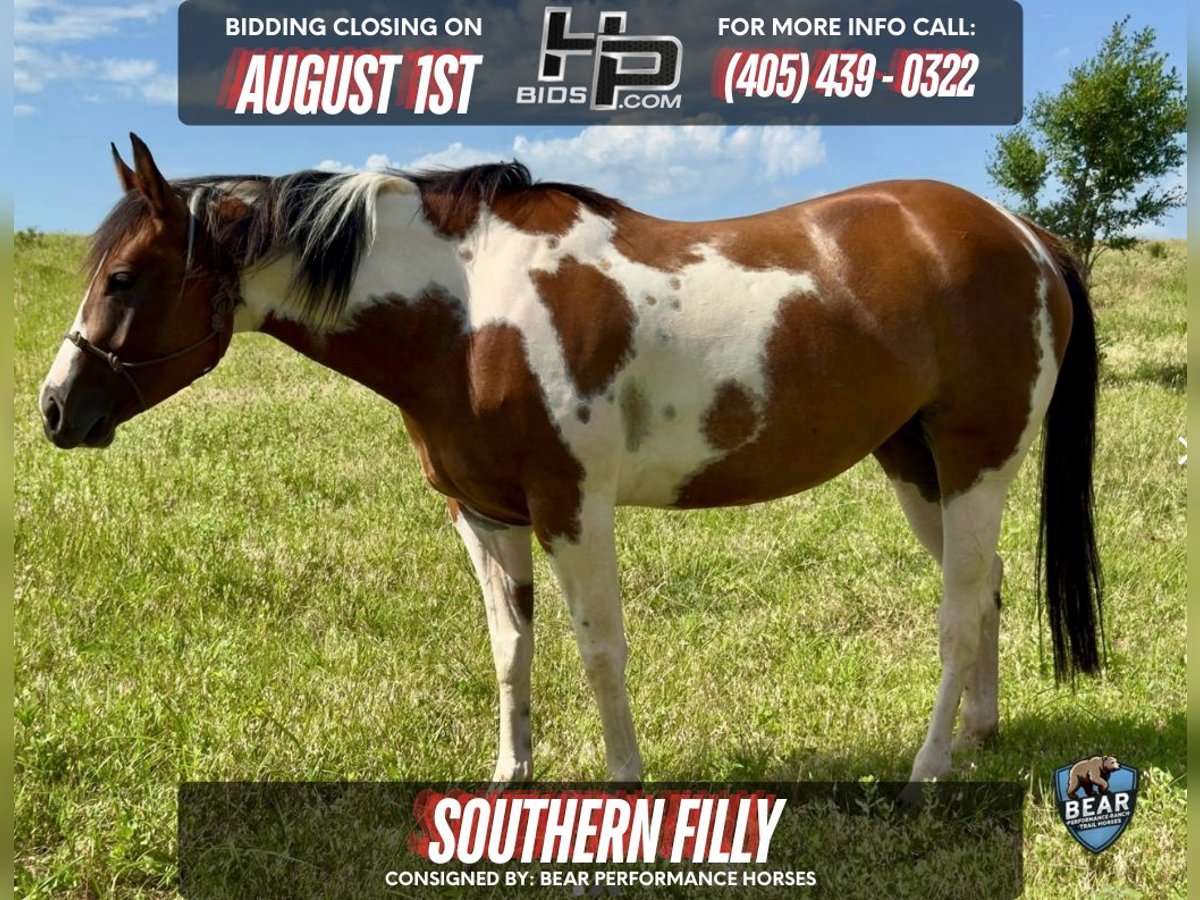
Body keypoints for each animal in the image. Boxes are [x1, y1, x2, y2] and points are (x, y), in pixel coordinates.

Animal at [40, 134, 1103, 784]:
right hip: (916, 465)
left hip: (975, 463)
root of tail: (1028, 236)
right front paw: (509, 779)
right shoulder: (484, 514)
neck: (469, 311)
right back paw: (980, 736)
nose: (55, 409)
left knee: (958, 612)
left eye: (123, 278)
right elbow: (511, 648)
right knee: (988, 590)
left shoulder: (572, 508)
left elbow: (599, 649)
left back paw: (928, 768)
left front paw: (624, 786)